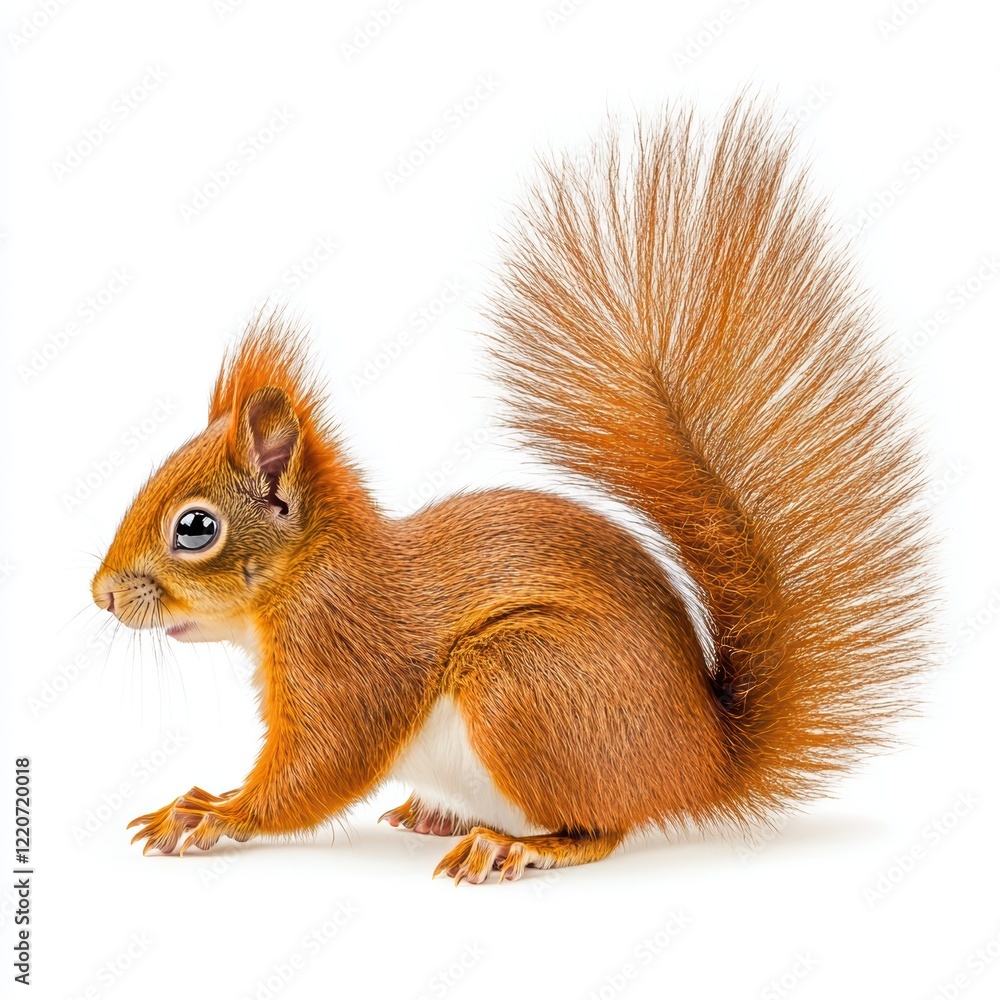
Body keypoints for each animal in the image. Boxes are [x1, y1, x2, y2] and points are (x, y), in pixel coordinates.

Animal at [91, 99, 932, 884]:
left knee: (600, 830)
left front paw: (209, 812)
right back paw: (436, 814)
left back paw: (513, 847)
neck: (306, 575)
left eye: (195, 528)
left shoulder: (347, 658)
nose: (101, 595)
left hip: (519, 680)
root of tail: (703, 763)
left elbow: (320, 769)